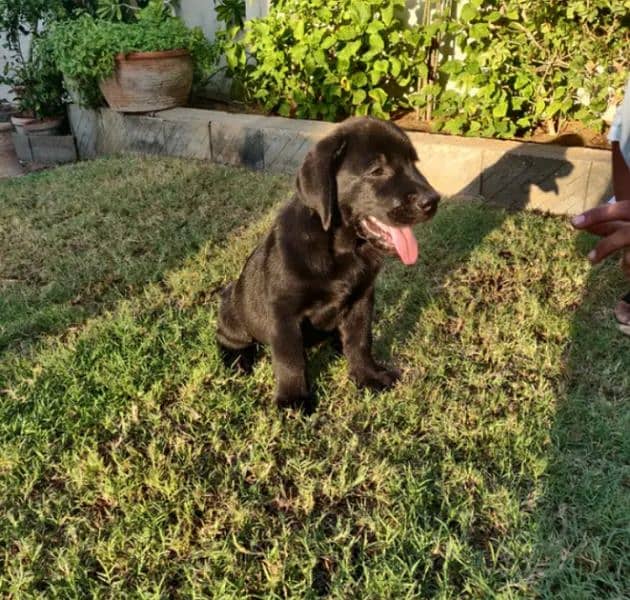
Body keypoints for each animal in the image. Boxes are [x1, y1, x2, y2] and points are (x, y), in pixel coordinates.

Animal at [220, 115, 442, 410]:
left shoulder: (362, 299)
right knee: (228, 337)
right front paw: (293, 399)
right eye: (376, 170)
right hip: (233, 311)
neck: (342, 249)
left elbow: (360, 341)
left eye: (413, 163)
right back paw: (237, 360)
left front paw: (367, 375)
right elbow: (290, 359)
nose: (433, 201)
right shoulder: (283, 312)